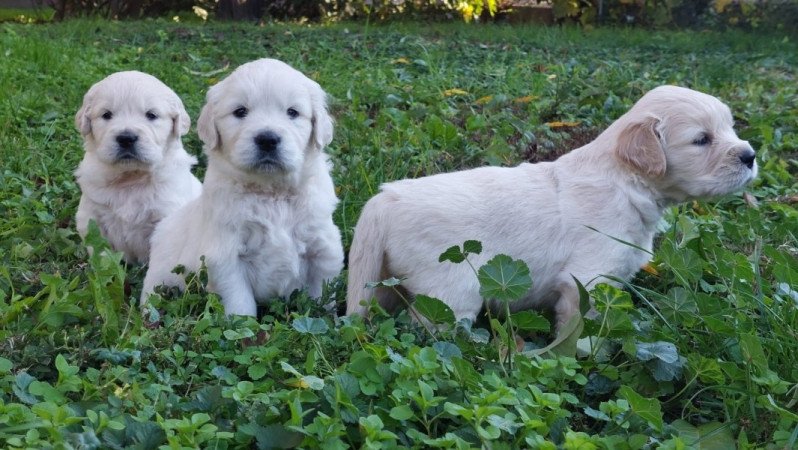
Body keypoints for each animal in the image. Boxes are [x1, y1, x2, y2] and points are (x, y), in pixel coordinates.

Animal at [74, 71, 203, 264]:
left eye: (151, 115)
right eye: (106, 115)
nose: (126, 138)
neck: (130, 177)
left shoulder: (167, 216)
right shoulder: (91, 214)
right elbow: (99, 250)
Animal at [142, 58, 342, 316]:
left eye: (292, 112)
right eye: (240, 112)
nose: (267, 139)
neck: (271, 193)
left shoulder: (323, 249)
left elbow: (321, 296)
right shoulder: (226, 257)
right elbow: (240, 304)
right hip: (162, 272)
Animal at [346, 85, 760, 330]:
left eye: (730, 128)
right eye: (701, 140)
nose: (750, 156)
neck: (625, 182)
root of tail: (385, 198)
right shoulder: (587, 281)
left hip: (384, 281)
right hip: (450, 292)